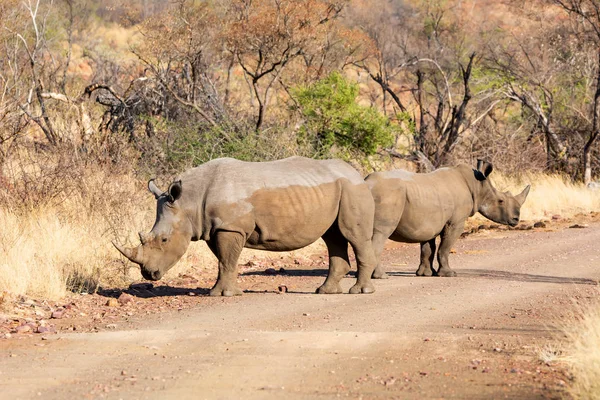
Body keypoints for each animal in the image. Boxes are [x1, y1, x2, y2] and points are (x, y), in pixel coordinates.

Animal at [112, 155, 376, 294]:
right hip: (337, 190)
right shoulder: (214, 228)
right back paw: (325, 291)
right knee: (333, 237)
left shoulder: (230, 227)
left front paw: (223, 294)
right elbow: (223, 260)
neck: (189, 200)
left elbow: (227, 260)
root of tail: (357, 173)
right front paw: (218, 292)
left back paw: (359, 292)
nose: (149, 274)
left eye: (165, 240)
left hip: (353, 190)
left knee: (354, 237)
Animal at [366, 159, 528, 278]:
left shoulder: (429, 223)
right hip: (387, 195)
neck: (477, 186)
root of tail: (367, 184)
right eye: (501, 201)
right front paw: (449, 274)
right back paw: (381, 276)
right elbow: (445, 247)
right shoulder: (455, 223)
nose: (516, 219)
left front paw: (425, 274)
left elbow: (428, 248)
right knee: (380, 234)